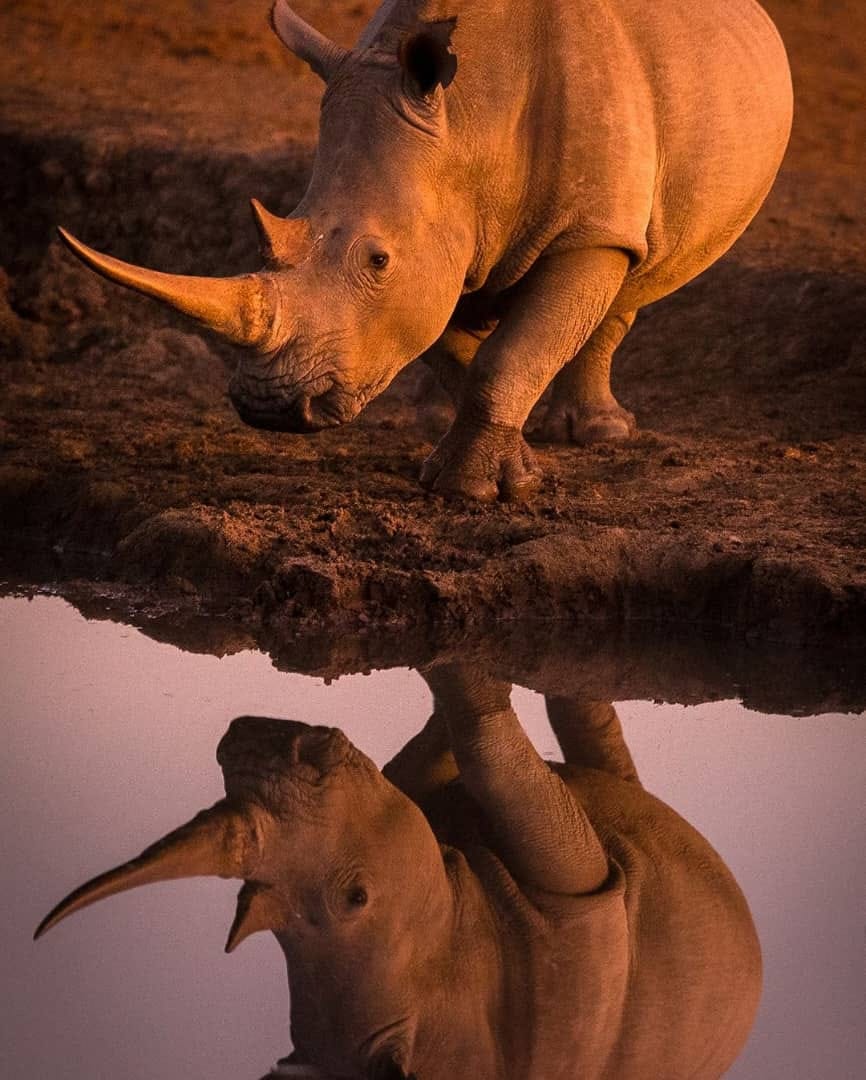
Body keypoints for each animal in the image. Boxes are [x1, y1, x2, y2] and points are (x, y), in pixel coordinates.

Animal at [58, 0, 793, 500]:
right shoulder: (433, 256)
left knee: (634, 271)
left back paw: (600, 435)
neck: (469, 126)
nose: (272, 408)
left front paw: (471, 491)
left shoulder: (588, 227)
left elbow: (509, 355)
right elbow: (454, 350)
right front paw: (485, 467)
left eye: (377, 260)